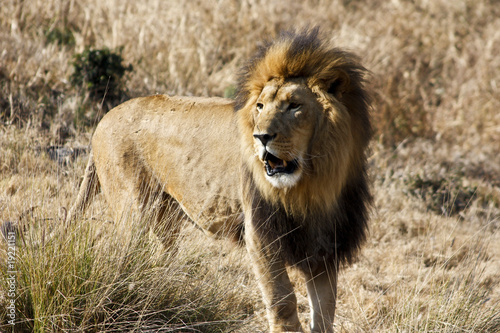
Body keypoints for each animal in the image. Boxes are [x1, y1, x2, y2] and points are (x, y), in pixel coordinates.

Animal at [67, 29, 372, 332]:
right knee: (125, 256)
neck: (312, 184)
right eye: (260, 106)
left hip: (166, 216)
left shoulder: (326, 243)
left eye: (294, 106)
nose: (261, 137)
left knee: (160, 257)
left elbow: (325, 311)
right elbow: (282, 302)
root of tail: (105, 118)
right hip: (133, 210)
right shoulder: (261, 233)